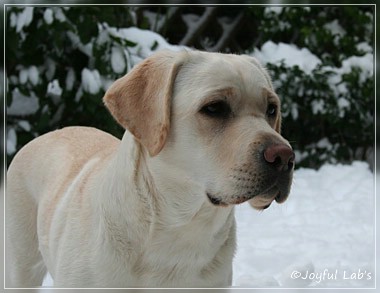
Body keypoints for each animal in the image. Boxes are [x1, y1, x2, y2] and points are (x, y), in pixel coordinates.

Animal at [5, 49, 296, 286]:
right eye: (214, 108)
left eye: (271, 109)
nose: (285, 157)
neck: (182, 229)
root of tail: (50, 133)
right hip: (21, 264)